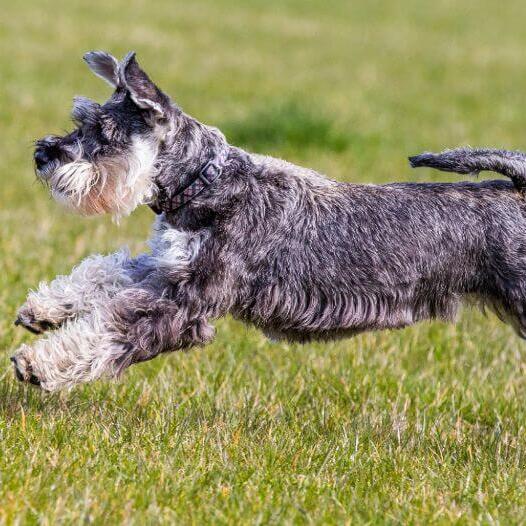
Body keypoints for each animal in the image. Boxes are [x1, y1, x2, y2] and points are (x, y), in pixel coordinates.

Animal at [10, 52, 526, 392]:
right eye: (80, 118)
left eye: (104, 131)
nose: (41, 155)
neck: (206, 182)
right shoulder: (166, 268)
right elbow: (103, 274)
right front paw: (45, 308)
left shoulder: (184, 304)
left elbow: (108, 329)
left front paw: (38, 364)